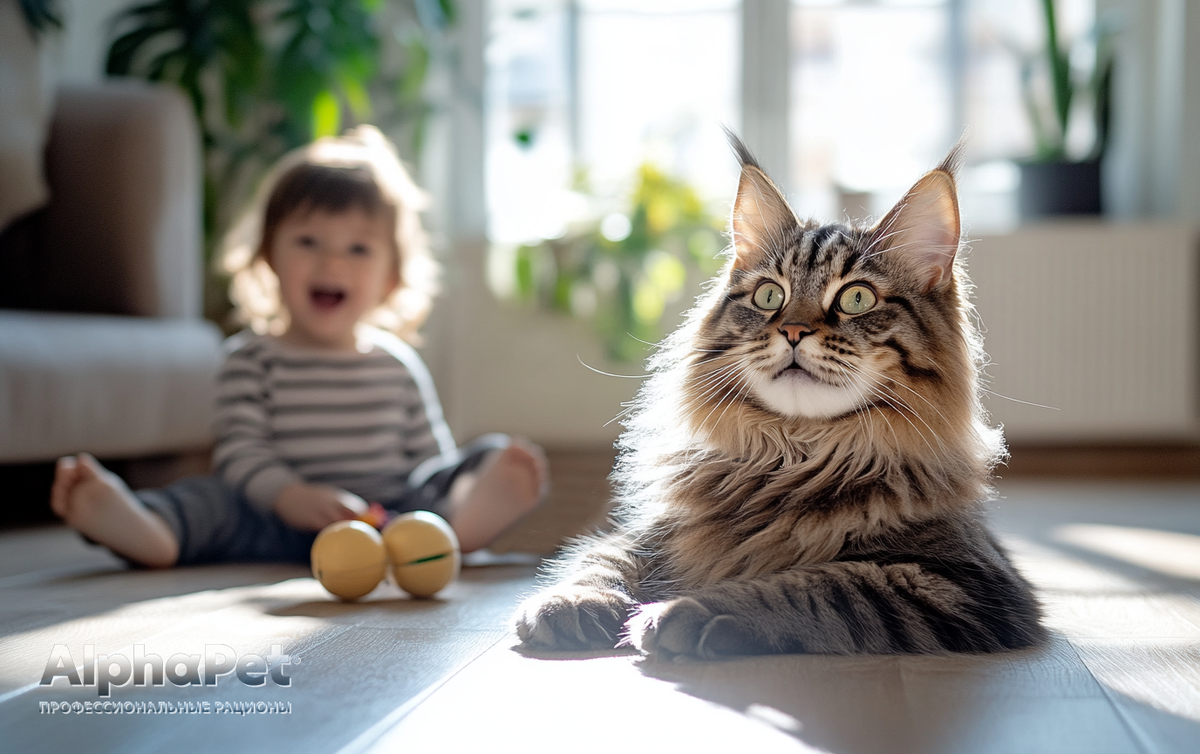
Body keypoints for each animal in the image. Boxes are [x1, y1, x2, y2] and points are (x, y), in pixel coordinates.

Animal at [511, 135, 1046, 657]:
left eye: (857, 298)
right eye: (769, 296)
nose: (792, 331)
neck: (793, 451)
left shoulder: (957, 581)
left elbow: (809, 585)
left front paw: (686, 610)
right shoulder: (651, 531)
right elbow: (604, 559)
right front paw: (572, 601)